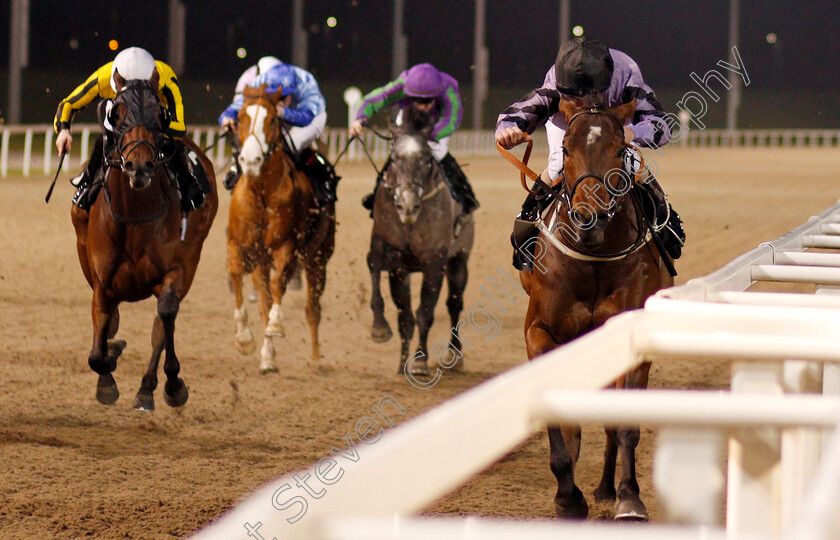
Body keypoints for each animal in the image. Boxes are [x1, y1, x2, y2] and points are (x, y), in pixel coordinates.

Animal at [70, 69, 218, 412]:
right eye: (117, 113)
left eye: (158, 114)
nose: (138, 166)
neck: (135, 215)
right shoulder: (102, 282)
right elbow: (98, 350)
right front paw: (108, 373)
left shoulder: (176, 271)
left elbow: (165, 315)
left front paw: (173, 385)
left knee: (162, 324)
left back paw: (148, 389)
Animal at [228, 84, 336, 374]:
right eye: (240, 116)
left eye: (273, 120)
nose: (250, 160)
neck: (261, 193)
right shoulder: (241, 246)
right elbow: (237, 276)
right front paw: (244, 339)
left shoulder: (286, 247)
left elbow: (278, 288)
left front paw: (276, 325)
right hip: (262, 262)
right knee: (264, 302)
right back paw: (268, 358)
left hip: (318, 259)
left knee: (313, 309)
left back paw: (316, 359)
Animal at [366, 109, 476, 376]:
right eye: (394, 159)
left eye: (426, 160)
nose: (407, 205)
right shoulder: (389, 257)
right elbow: (395, 306)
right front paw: (380, 329)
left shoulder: (435, 262)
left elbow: (425, 312)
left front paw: (419, 361)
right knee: (408, 316)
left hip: (459, 260)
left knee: (454, 304)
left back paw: (454, 355)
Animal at [520, 99, 672, 520]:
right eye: (565, 148)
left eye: (620, 149)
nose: (589, 218)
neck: (592, 259)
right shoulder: (539, 333)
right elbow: (558, 415)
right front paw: (567, 496)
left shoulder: (628, 340)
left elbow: (625, 426)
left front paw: (629, 497)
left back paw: (607, 488)